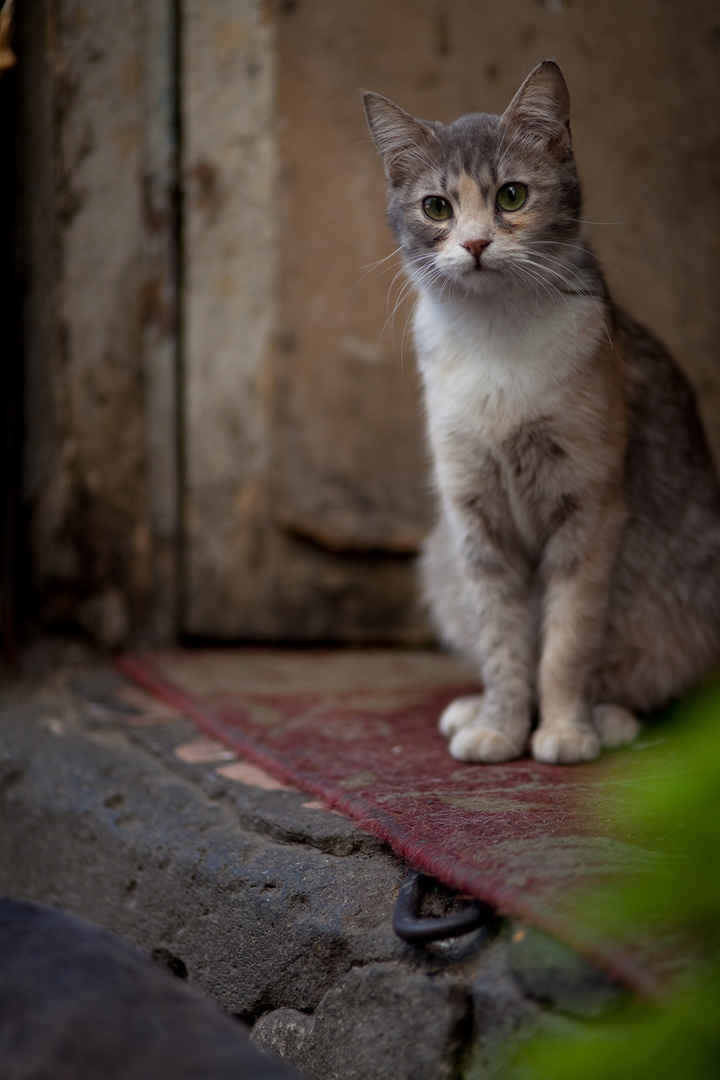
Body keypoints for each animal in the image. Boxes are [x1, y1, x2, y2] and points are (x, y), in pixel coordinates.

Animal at [362, 61, 720, 768]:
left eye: (512, 197)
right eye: (436, 207)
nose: (475, 243)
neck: (497, 338)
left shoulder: (589, 509)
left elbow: (568, 640)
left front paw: (564, 729)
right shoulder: (474, 516)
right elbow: (502, 639)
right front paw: (499, 725)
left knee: (649, 679)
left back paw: (609, 717)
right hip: (441, 557)